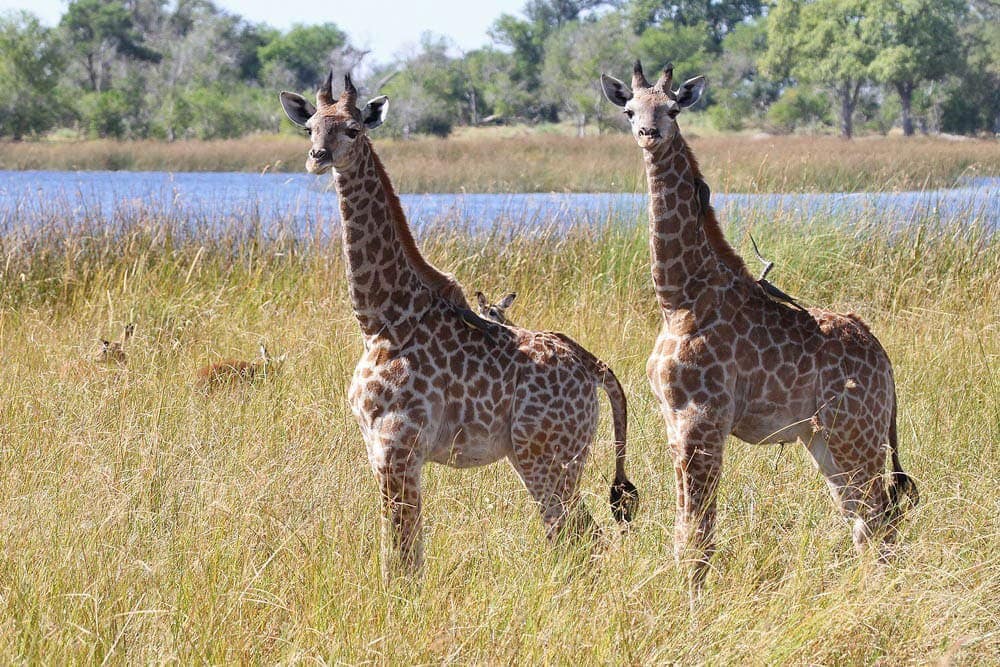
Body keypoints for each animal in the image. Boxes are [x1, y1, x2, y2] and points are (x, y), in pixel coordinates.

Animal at [279, 72, 638, 578]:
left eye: (352, 128)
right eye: (310, 127)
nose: (317, 157)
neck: (380, 319)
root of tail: (595, 367)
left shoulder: (396, 445)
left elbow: (400, 554)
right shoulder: (378, 446)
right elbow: (409, 550)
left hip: (547, 456)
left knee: (581, 535)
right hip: (548, 457)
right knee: (574, 536)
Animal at [601, 61, 918, 595]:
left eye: (673, 108)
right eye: (629, 110)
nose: (648, 134)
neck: (678, 298)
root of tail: (887, 362)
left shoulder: (702, 418)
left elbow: (695, 538)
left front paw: (693, 611)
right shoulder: (672, 420)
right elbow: (688, 532)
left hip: (855, 430)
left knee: (879, 515)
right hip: (824, 438)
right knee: (865, 518)